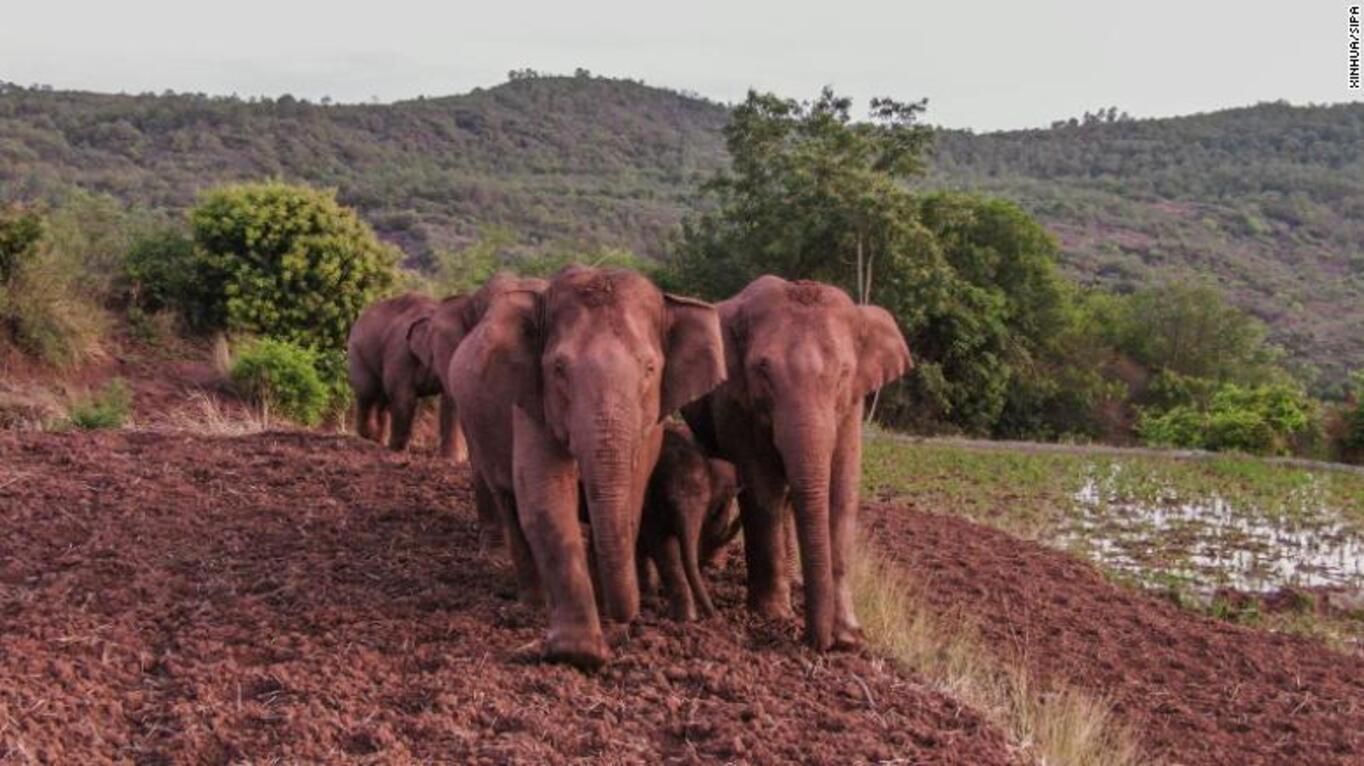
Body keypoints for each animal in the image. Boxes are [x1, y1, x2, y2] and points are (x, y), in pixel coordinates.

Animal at [346, 292, 474, 461]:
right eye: (442, 348)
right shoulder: (400, 353)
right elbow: (404, 397)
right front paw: (398, 451)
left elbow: (450, 401)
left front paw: (452, 460)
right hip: (357, 353)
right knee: (367, 393)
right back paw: (370, 438)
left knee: (382, 400)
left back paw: (378, 440)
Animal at [450, 266, 725, 668]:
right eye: (559, 368)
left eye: (649, 368)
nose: (626, 618)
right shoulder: (533, 401)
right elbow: (546, 500)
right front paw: (579, 654)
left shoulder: (651, 423)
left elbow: (632, 498)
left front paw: (606, 618)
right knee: (508, 499)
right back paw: (532, 605)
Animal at [636, 424, 740, 621]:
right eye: (668, 500)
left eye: (707, 504)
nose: (714, 616)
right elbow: (663, 546)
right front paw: (686, 619)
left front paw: (686, 618)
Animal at [682, 275, 912, 652]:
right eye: (762, 369)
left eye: (844, 373)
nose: (819, 643)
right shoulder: (736, 401)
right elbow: (763, 490)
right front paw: (774, 615)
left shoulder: (852, 406)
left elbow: (842, 492)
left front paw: (850, 637)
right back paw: (716, 566)